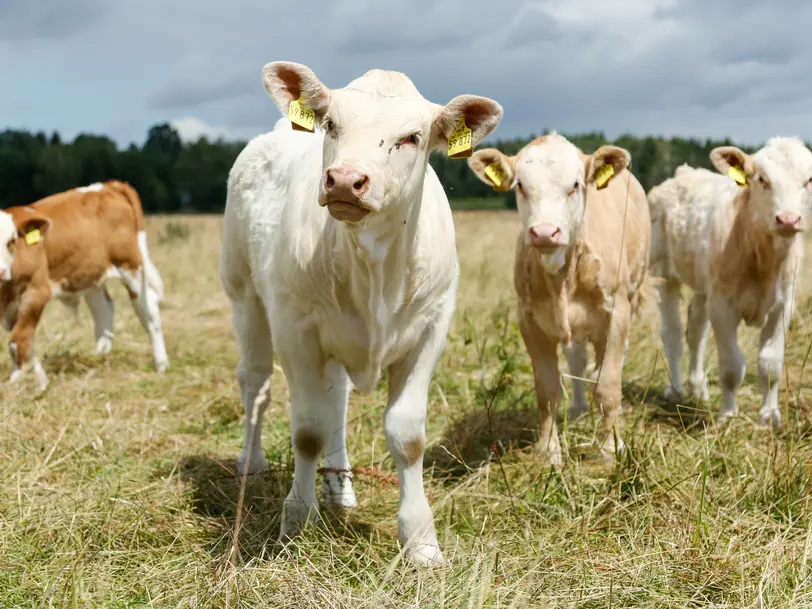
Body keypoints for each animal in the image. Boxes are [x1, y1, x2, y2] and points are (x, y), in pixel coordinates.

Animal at [0, 180, 168, 390]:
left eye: (11, 241)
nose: (1, 271)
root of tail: (108, 185)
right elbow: (25, 341)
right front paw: (38, 380)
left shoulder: (36, 293)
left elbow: (18, 341)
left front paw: (18, 383)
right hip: (91, 274)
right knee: (104, 310)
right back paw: (100, 357)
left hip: (130, 266)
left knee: (149, 309)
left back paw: (161, 364)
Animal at [220, 63, 502, 564]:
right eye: (331, 124)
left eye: (412, 137)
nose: (345, 180)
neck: (373, 267)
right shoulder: (295, 328)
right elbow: (307, 430)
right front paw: (297, 522)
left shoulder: (431, 329)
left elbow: (406, 435)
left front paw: (421, 540)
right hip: (244, 294)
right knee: (256, 384)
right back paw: (252, 464)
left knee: (337, 398)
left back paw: (340, 488)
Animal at [466, 133, 652, 464]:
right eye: (520, 185)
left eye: (575, 184)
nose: (544, 232)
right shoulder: (529, 319)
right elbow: (547, 389)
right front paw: (549, 451)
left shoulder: (616, 313)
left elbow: (608, 383)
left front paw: (609, 448)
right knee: (576, 358)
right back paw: (578, 409)